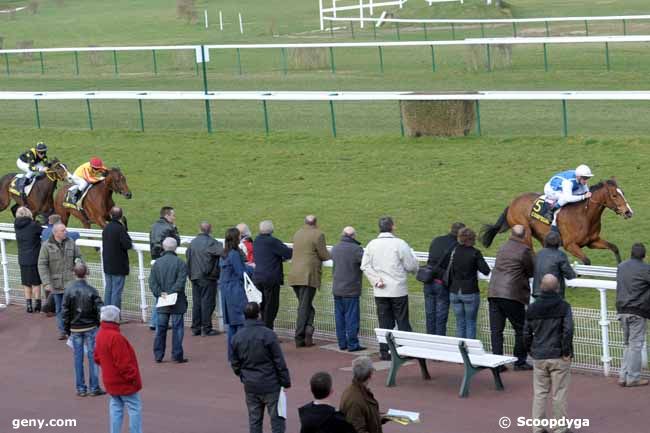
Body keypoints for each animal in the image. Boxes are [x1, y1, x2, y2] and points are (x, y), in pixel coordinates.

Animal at [480, 178, 632, 264]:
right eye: (614, 195)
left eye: (623, 193)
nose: (628, 212)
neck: (585, 216)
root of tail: (512, 203)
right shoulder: (570, 245)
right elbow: (586, 261)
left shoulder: (592, 241)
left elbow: (614, 247)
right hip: (524, 230)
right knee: (531, 251)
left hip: (541, 235)